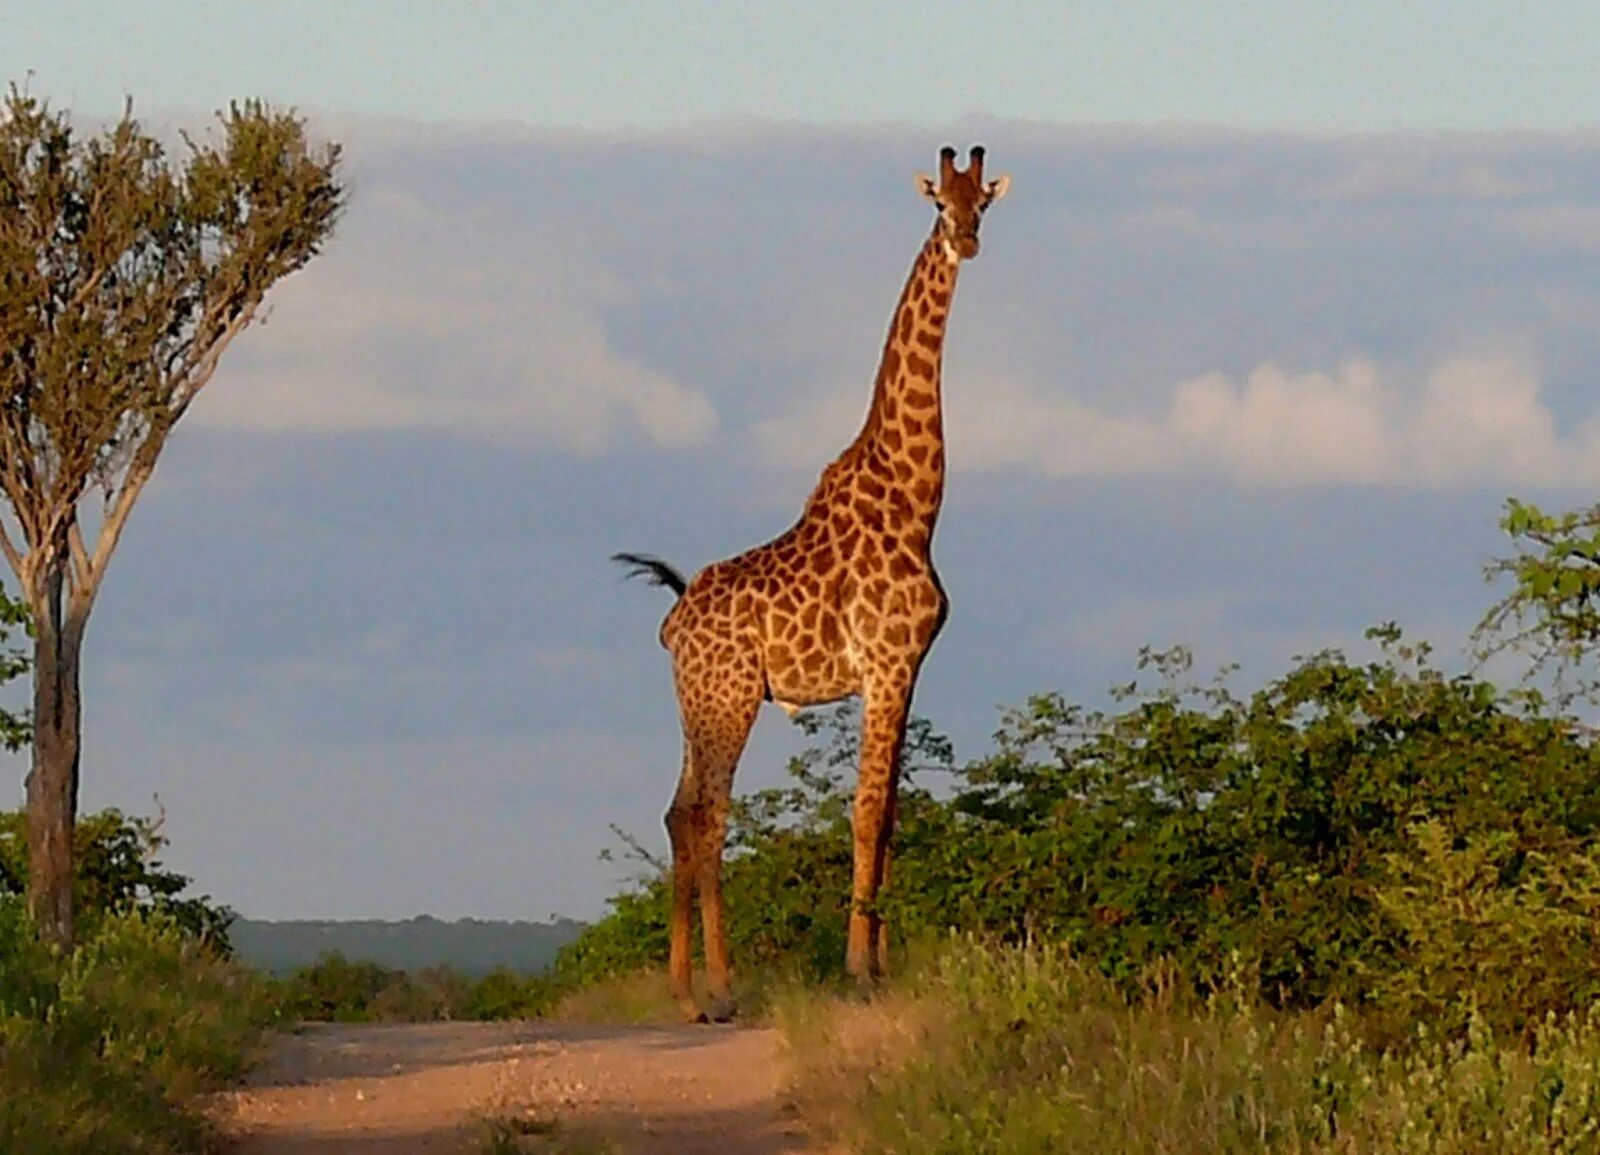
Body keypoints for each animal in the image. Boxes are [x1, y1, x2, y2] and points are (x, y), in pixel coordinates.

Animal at [614, 143, 1011, 1017]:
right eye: (940, 205)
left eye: (984, 205)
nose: (966, 241)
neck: (916, 498)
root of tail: (672, 618)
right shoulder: (886, 664)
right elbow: (862, 814)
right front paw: (858, 969)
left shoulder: (909, 670)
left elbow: (890, 815)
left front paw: (883, 964)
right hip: (730, 697)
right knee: (709, 814)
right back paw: (722, 987)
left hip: (698, 702)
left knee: (677, 813)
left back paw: (682, 988)